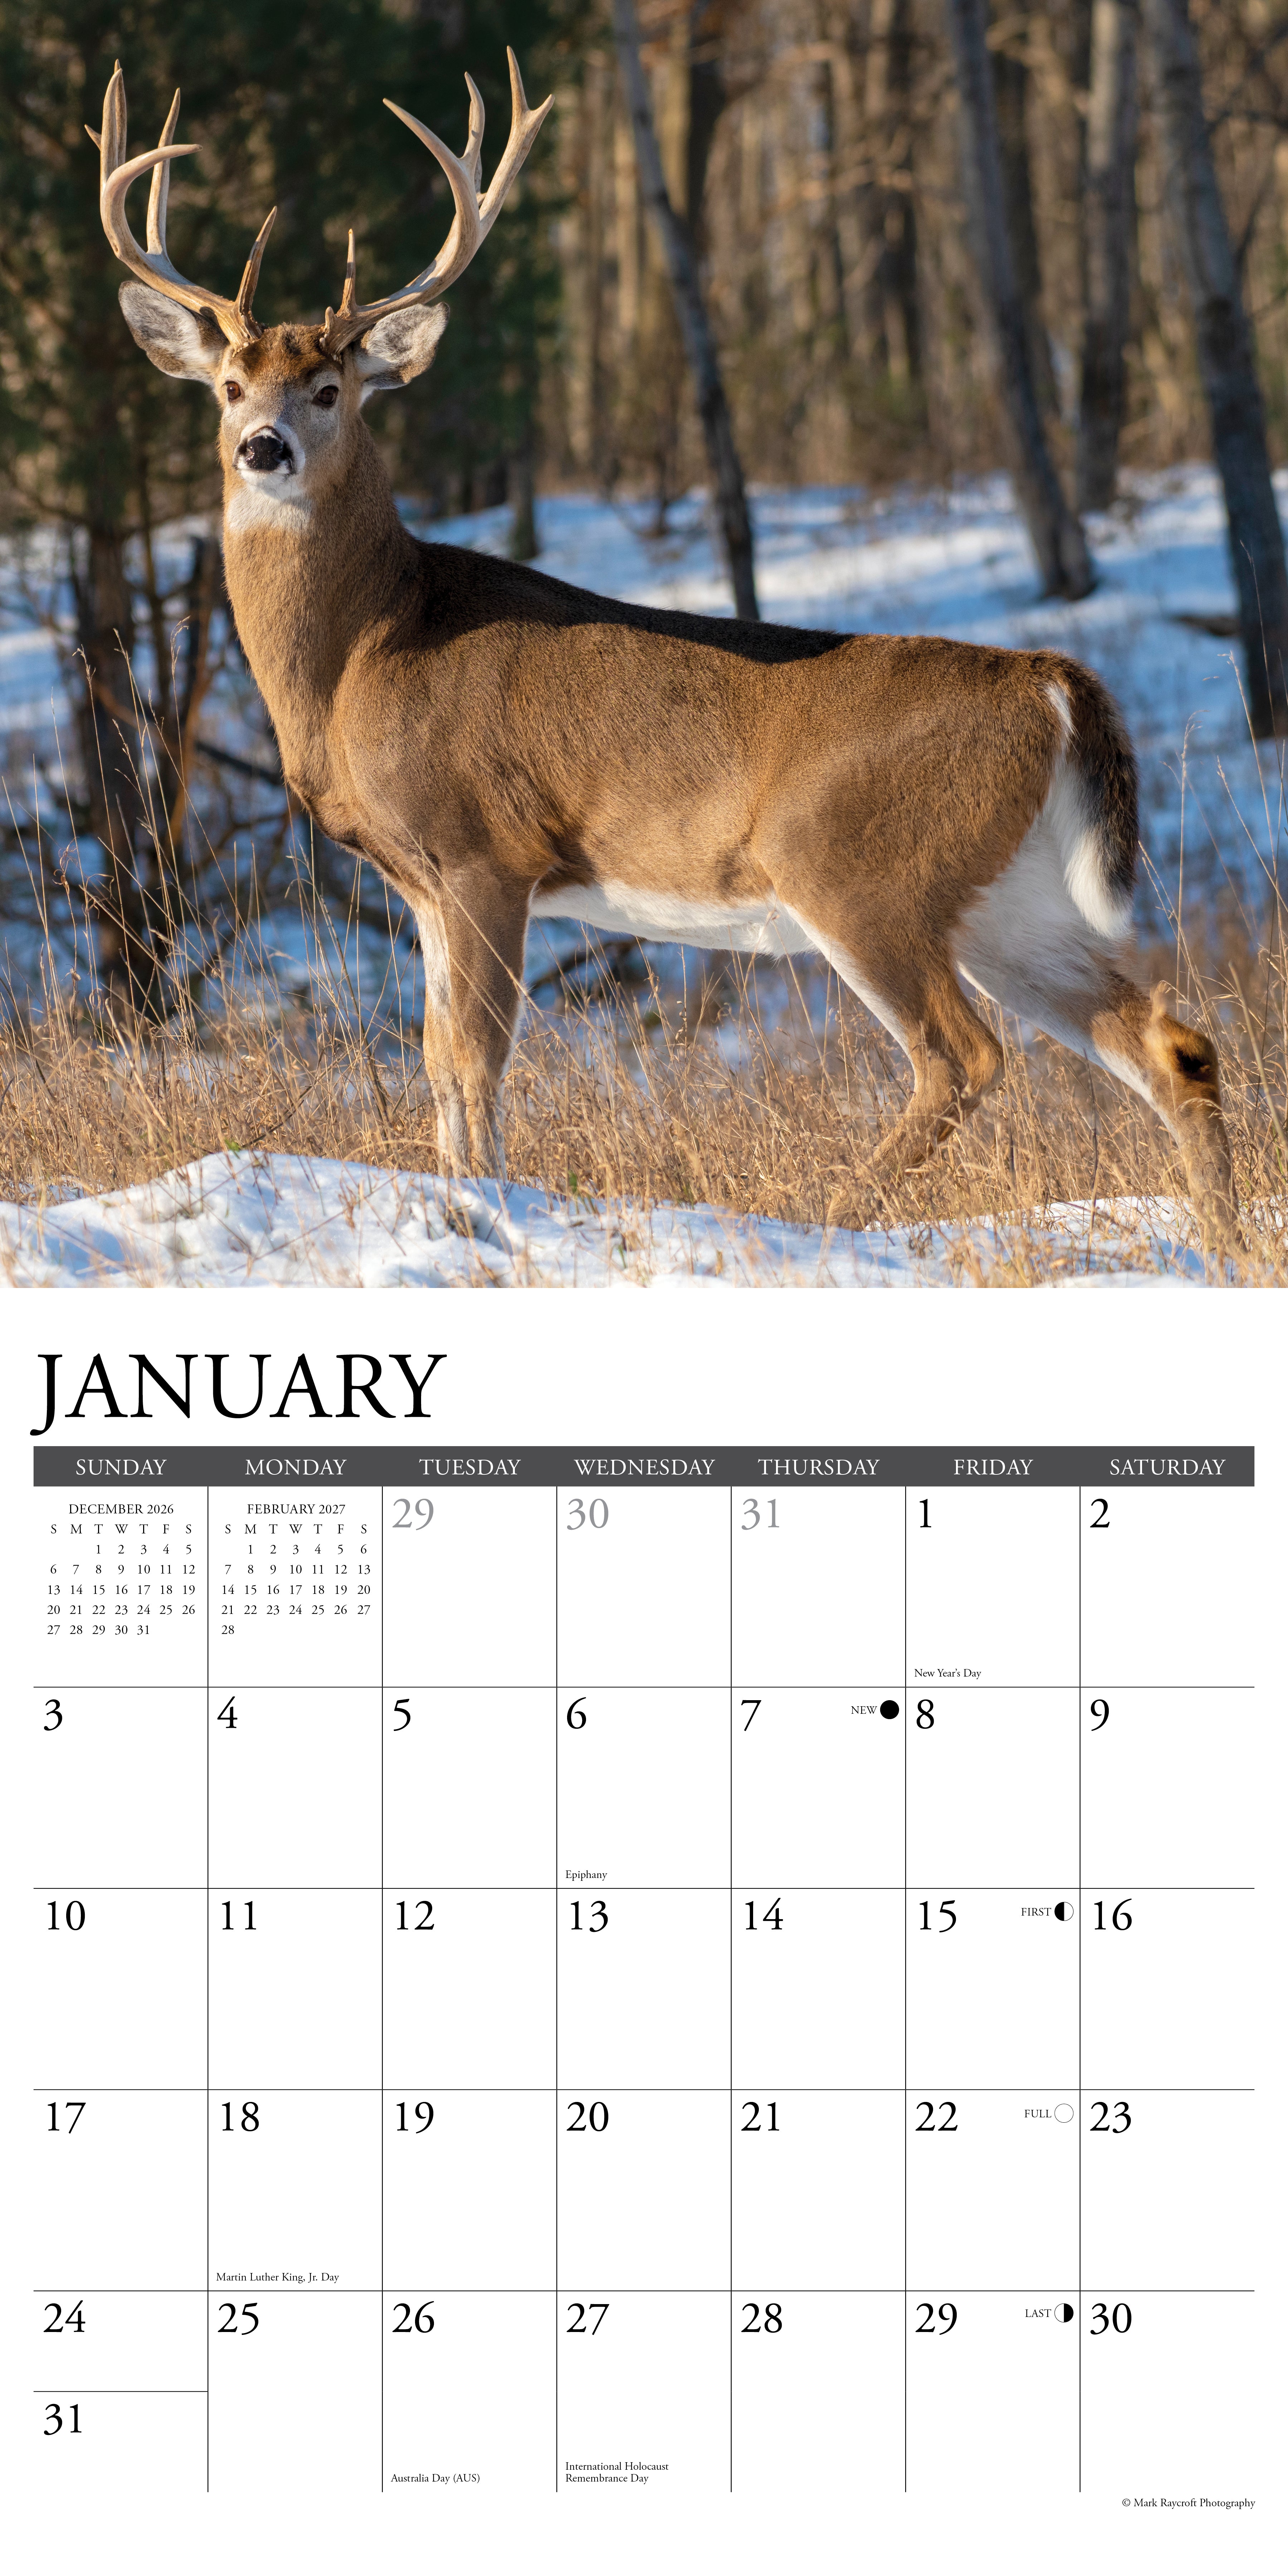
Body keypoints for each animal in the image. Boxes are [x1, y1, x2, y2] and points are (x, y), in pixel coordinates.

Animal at [92, 55, 1241, 1253]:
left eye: (330, 390)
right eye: (229, 386)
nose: (262, 448)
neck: (370, 644)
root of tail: (1051, 682)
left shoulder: (486, 848)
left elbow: (477, 1059)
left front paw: (491, 1203)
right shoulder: (417, 883)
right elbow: (439, 1065)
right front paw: (457, 1196)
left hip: (857, 865)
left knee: (963, 1054)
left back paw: (834, 1212)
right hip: (1009, 895)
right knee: (1171, 1042)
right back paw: (1221, 1240)